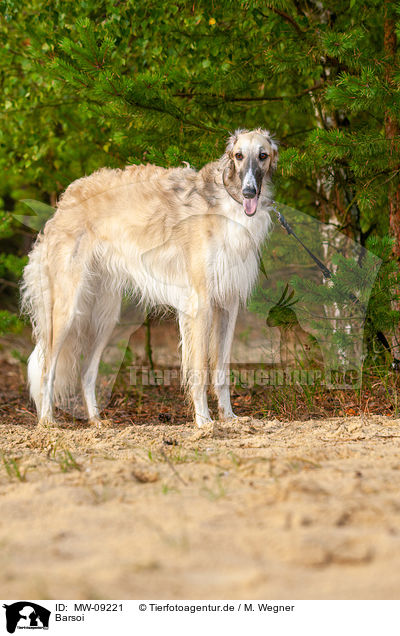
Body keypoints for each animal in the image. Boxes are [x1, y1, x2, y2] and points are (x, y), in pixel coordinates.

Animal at [21, 128, 278, 428]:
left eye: (263, 155)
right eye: (238, 155)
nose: (249, 191)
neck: (227, 204)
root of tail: (65, 200)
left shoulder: (228, 304)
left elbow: (221, 370)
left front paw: (229, 417)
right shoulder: (200, 303)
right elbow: (199, 372)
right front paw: (204, 422)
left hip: (106, 317)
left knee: (86, 371)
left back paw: (96, 420)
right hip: (67, 309)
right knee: (47, 368)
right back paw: (47, 421)